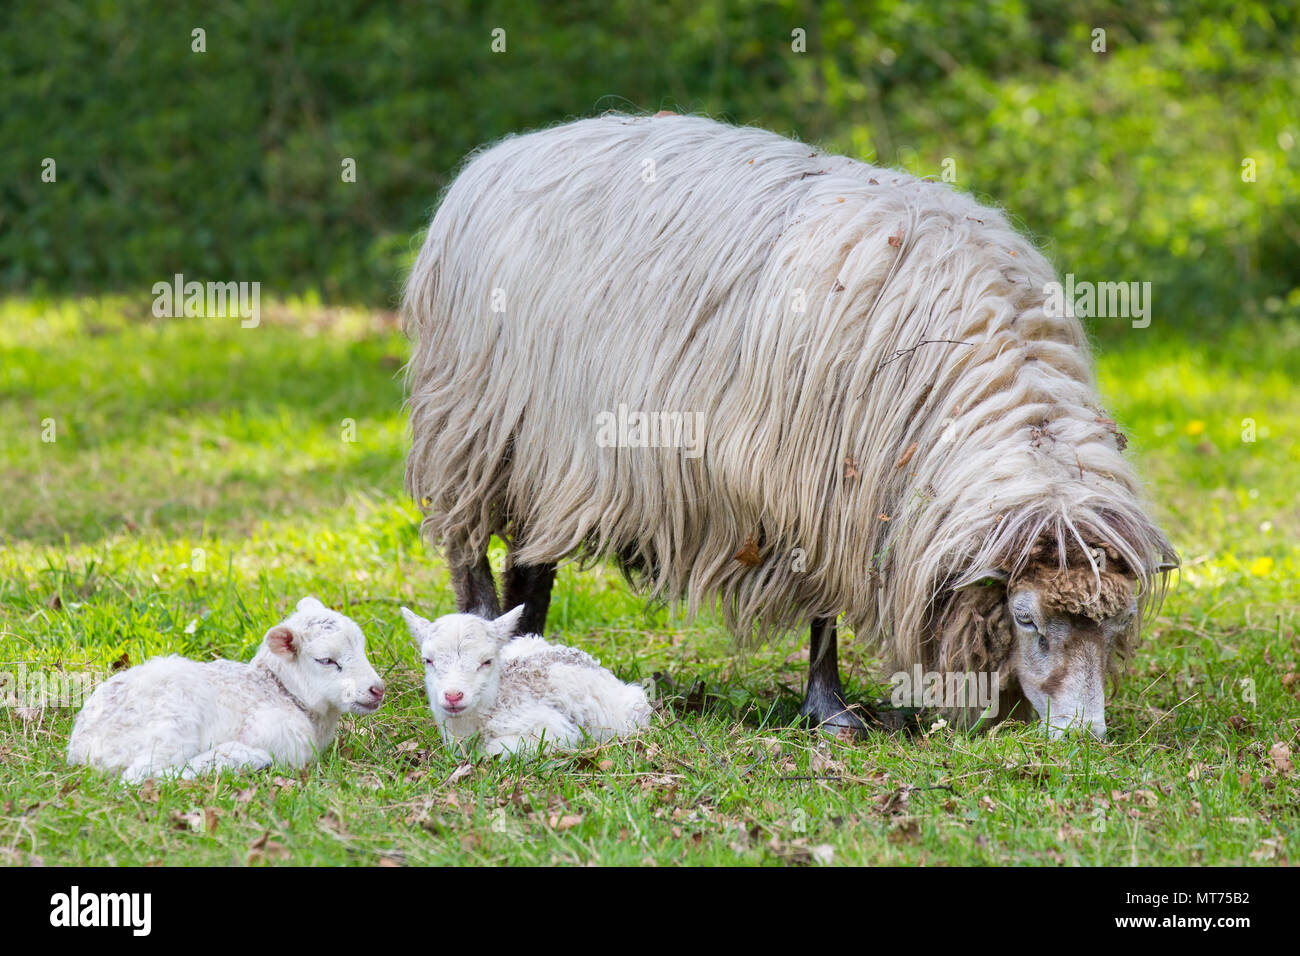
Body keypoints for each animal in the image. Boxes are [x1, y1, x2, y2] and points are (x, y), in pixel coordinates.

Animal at [67, 598, 384, 785]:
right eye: (326, 660)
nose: (377, 690)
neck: (279, 689)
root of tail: (81, 749)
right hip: (172, 723)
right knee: (141, 775)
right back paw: (241, 758)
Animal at [397, 113, 1180, 738]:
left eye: (1114, 624)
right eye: (1025, 619)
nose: (1084, 737)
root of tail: (504, 152)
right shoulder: (815, 486)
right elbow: (826, 610)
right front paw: (829, 711)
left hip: (544, 455)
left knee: (533, 563)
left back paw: (528, 646)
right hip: (472, 432)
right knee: (472, 559)